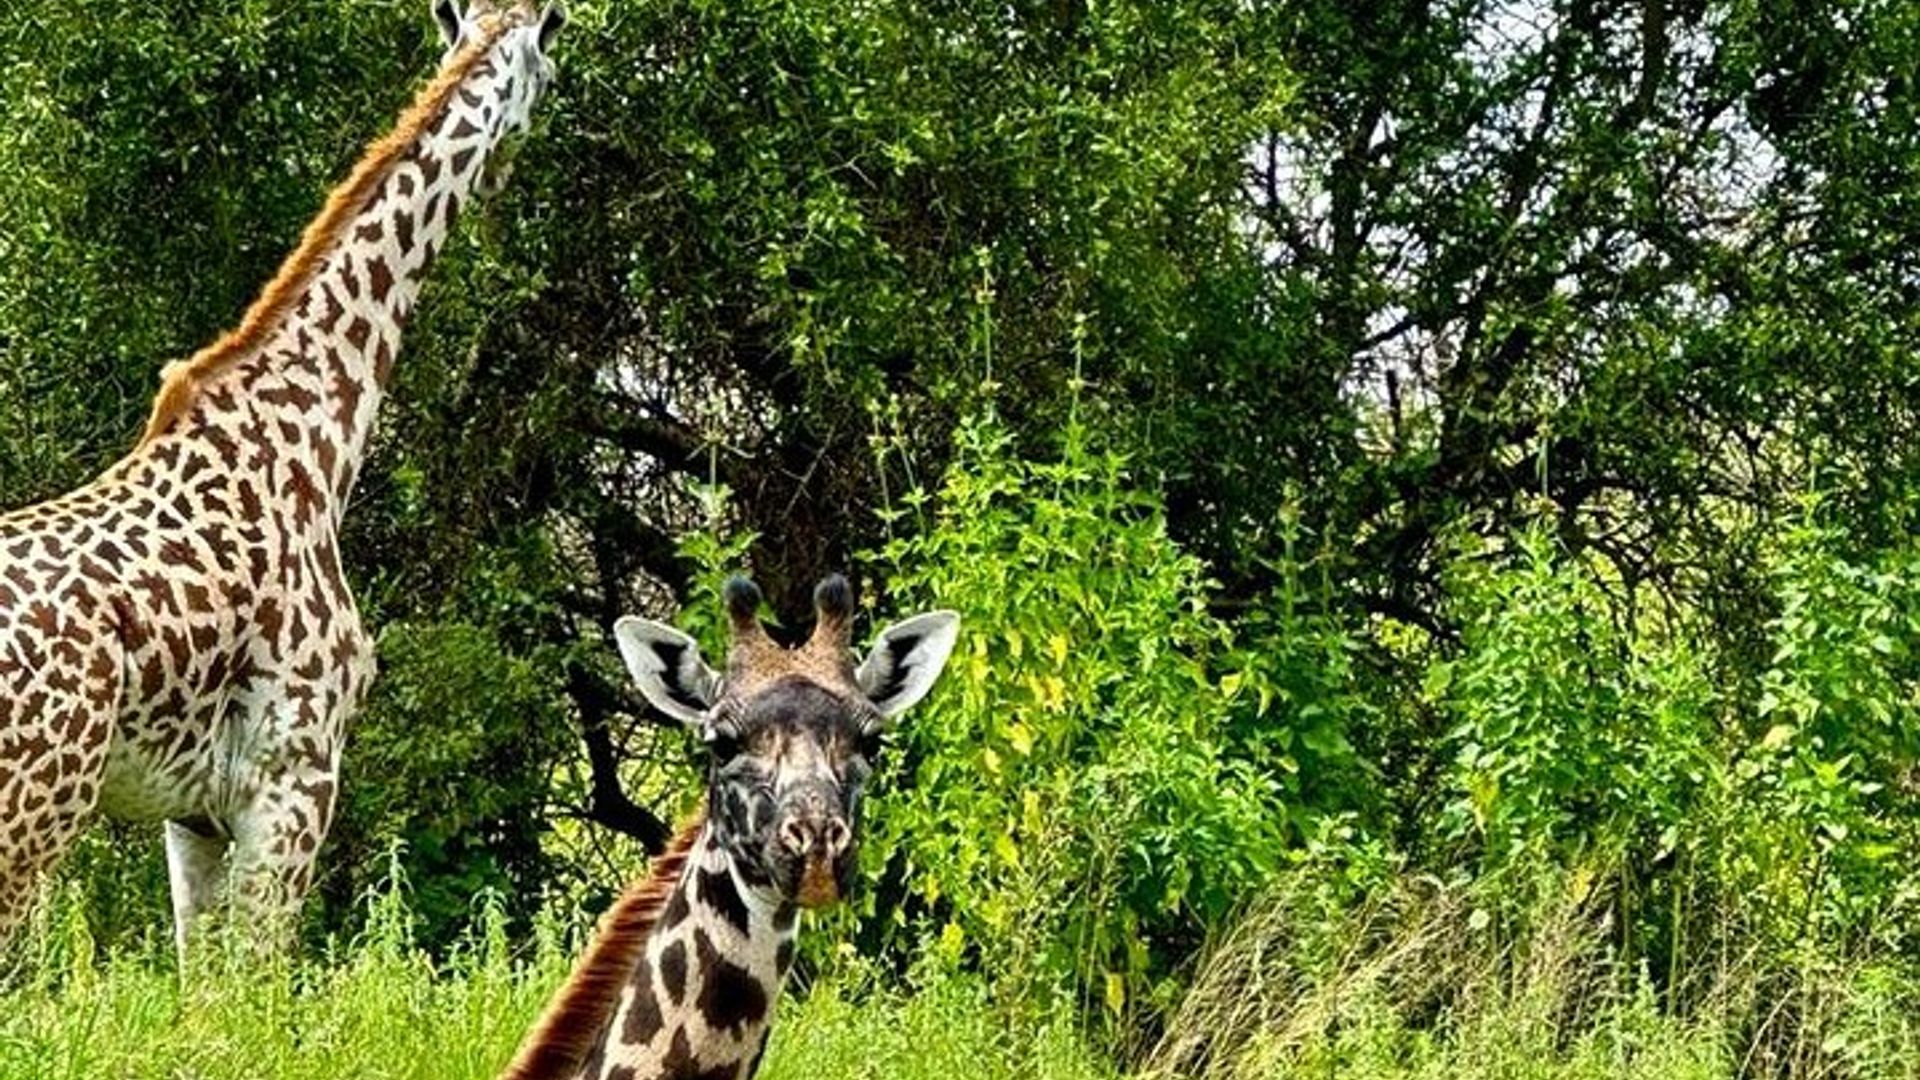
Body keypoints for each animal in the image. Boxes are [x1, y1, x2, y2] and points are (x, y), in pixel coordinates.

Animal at [0, 0, 568, 959]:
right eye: (550, 71)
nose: (504, 172)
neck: (319, 436)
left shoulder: (193, 813)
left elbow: (203, 986)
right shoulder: (295, 781)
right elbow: (257, 986)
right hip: (37, 809)